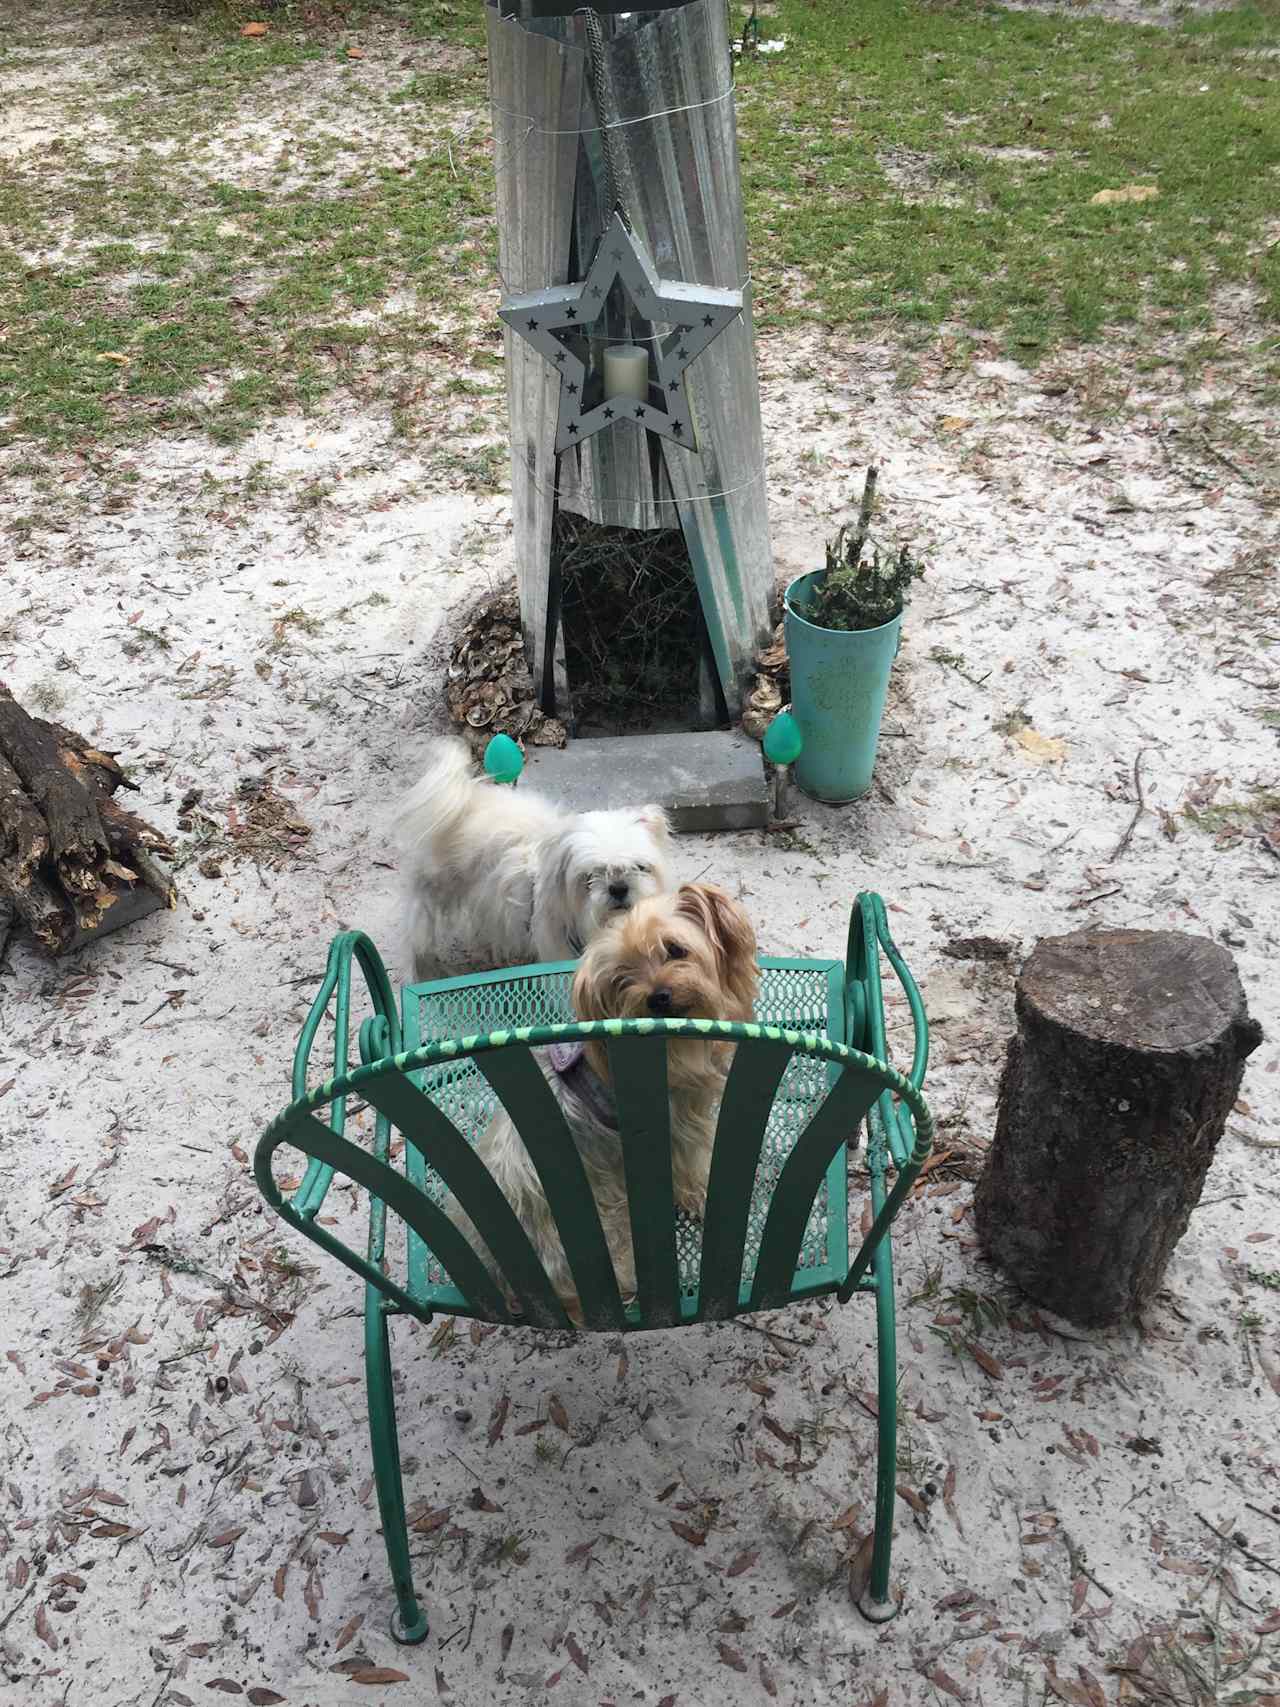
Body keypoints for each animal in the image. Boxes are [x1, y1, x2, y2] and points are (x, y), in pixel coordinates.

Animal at [395, 737, 675, 990]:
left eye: (640, 867)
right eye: (590, 877)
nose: (618, 888)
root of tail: (464, 798)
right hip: (432, 892)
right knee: (417, 938)